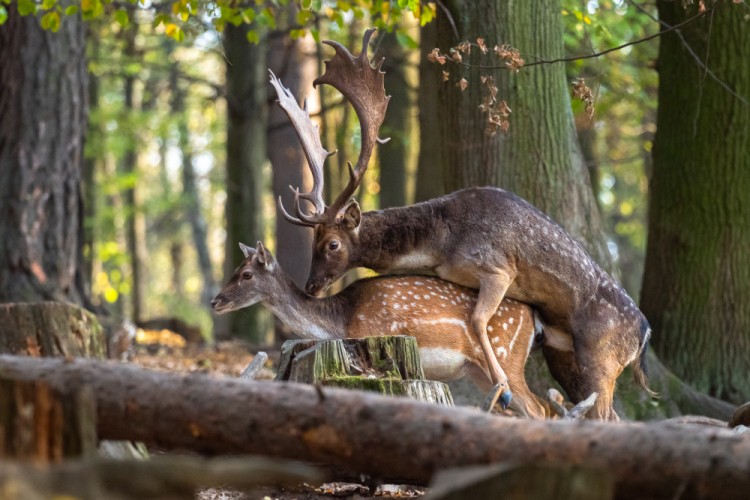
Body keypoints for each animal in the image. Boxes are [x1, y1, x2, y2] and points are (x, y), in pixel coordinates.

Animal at [214, 241, 548, 418]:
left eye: (246, 274)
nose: (215, 300)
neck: (341, 320)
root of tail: (534, 317)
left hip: (507, 356)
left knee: (538, 408)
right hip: (479, 370)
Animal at [274, 29, 656, 420]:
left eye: (332, 244)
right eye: (314, 239)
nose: (311, 285)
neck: (440, 246)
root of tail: (645, 335)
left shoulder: (498, 268)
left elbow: (476, 319)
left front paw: (502, 390)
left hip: (602, 356)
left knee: (607, 412)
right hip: (562, 353)